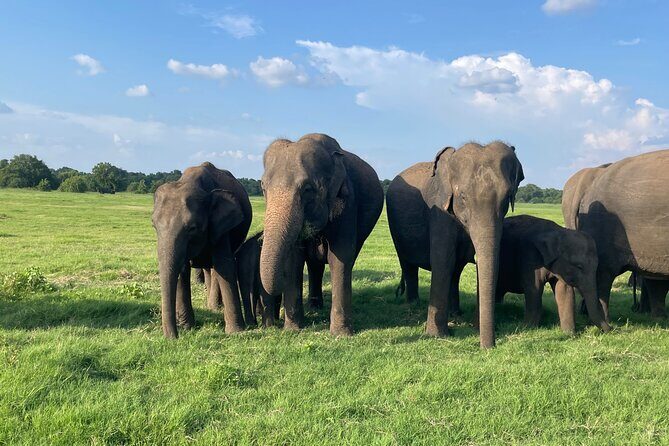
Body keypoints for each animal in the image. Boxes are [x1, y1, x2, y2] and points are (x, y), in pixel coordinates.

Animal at [152, 162, 252, 338]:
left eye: (192, 228)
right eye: (154, 225)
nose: (173, 338)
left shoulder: (221, 227)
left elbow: (224, 266)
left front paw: (236, 332)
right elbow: (182, 270)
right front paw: (188, 327)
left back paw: (215, 307)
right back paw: (212, 306)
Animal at [259, 133, 384, 336]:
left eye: (307, 189)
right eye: (263, 188)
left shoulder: (347, 203)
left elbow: (339, 257)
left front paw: (341, 334)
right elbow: (294, 258)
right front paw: (292, 329)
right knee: (314, 264)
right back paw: (314, 307)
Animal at [387, 141, 524, 348]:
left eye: (507, 198)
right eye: (463, 197)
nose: (489, 347)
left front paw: (475, 328)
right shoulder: (439, 210)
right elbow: (442, 261)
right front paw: (437, 336)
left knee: (455, 271)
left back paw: (455, 313)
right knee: (408, 264)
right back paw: (413, 304)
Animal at [451, 215, 610, 333]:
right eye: (579, 266)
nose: (611, 329)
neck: (559, 231)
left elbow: (564, 291)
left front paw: (569, 334)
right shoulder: (530, 258)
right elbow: (533, 289)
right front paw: (527, 328)